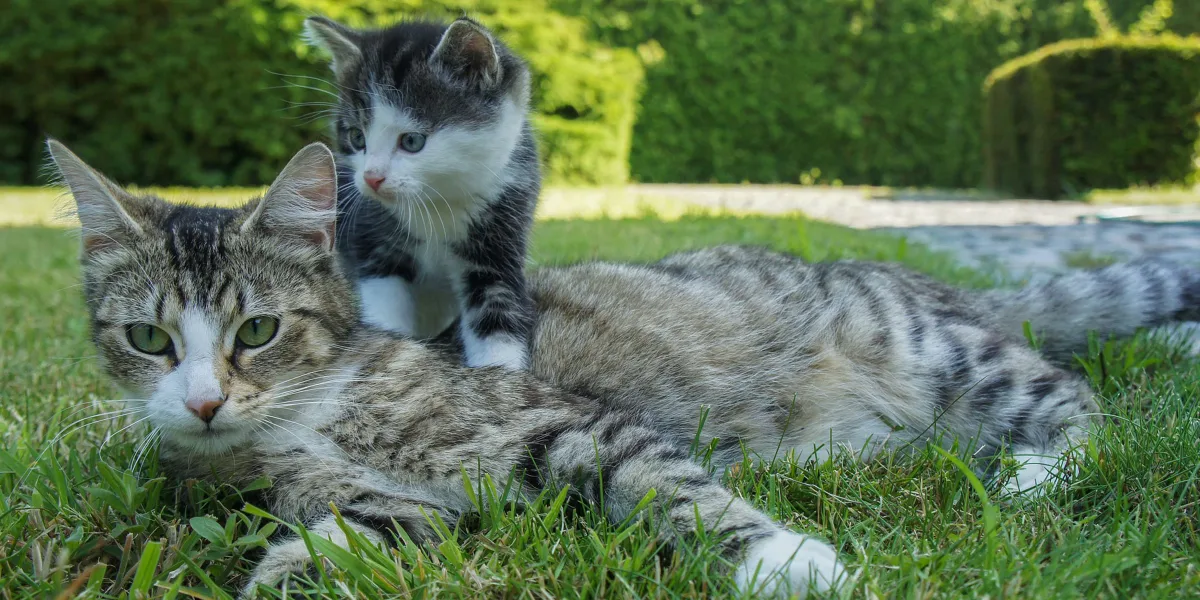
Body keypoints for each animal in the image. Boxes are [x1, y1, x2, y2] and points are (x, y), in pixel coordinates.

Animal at [51, 140, 1200, 595]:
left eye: (256, 332)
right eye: (149, 340)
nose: (203, 402)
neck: (310, 414)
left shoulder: (559, 422)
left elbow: (666, 482)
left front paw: (789, 562)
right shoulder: (381, 508)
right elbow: (346, 542)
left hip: (944, 356)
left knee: (1080, 404)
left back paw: (1037, 474)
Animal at [302, 14, 542, 369]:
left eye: (413, 141)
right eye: (357, 138)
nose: (371, 178)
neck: (436, 201)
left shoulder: (501, 232)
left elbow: (498, 316)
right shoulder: (375, 243)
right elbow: (385, 312)